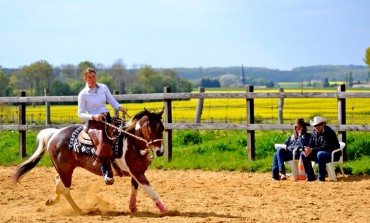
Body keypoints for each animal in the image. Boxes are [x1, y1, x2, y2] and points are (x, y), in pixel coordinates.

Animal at [12, 109, 167, 213]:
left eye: (162, 127)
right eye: (150, 128)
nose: (160, 151)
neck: (132, 141)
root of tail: (55, 133)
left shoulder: (137, 173)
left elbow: (135, 189)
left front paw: (133, 207)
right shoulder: (137, 173)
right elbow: (152, 192)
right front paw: (166, 211)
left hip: (62, 169)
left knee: (58, 182)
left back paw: (52, 201)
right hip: (65, 170)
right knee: (65, 188)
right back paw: (79, 210)